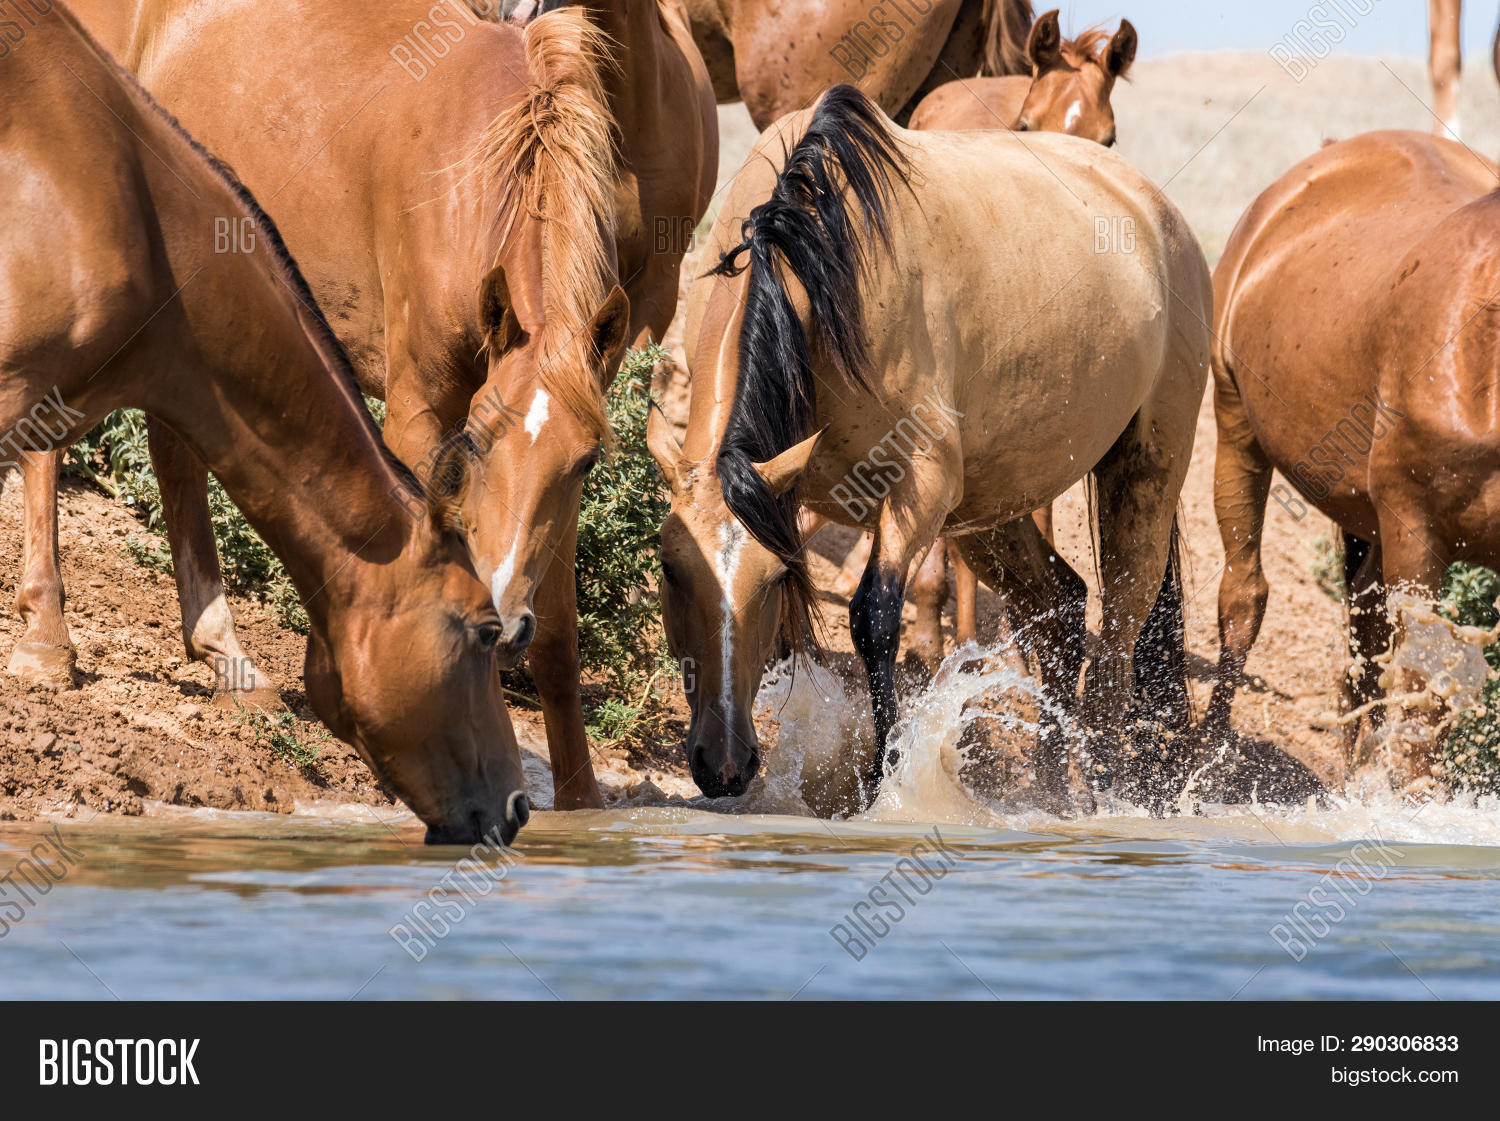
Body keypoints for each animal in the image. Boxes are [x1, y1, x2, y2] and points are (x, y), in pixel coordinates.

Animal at [48, 0, 628, 810]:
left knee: (176, 452)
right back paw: (45, 644)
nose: (507, 617)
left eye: (587, 463)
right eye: (476, 442)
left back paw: (224, 654)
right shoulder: (420, 416)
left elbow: (560, 642)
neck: (480, 177)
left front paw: (581, 805)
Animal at [648, 85, 1209, 812]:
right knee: (1059, 604)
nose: (723, 765)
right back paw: (1047, 791)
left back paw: (1104, 785)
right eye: (670, 569)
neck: (815, 269)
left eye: (769, 580)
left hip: (1143, 472)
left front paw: (880, 783)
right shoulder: (790, 497)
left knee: (1120, 632)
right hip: (990, 509)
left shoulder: (919, 485)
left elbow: (873, 618)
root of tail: (1165, 222)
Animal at [1208, 129, 1500, 791]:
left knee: (1362, 632)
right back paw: (1193, 762)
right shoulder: (1415, 528)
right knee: (1244, 597)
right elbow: (1420, 690)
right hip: (1237, 427)